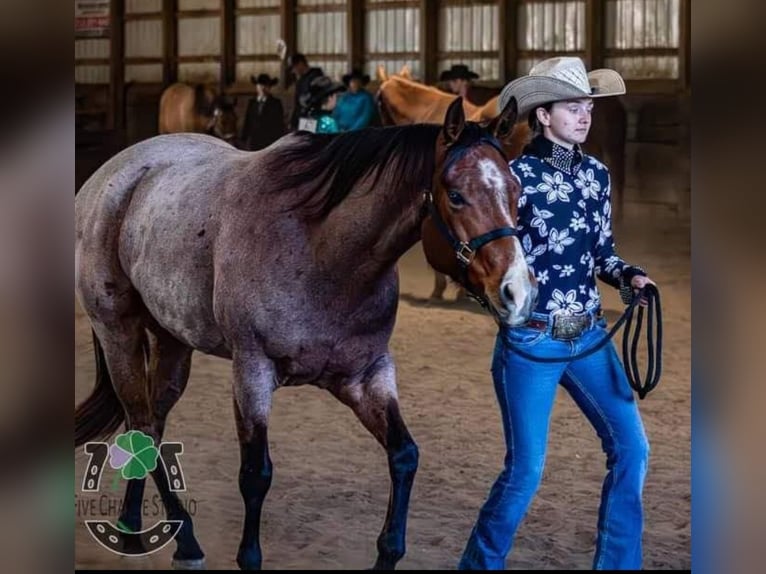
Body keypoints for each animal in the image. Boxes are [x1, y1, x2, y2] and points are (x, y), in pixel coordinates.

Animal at [75, 97, 536, 568]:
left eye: (516, 192)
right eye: (456, 196)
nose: (517, 291)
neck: (321, 248)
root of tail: (111, 177)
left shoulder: (366, 375)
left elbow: (404, 455)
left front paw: (389, 551)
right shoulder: (252, 372)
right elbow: (256, 474)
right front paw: (248, 556)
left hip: (172, 340)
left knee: (149, 424)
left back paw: (133, 524)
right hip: (118, 333)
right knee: (144, 424)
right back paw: (184, 541)